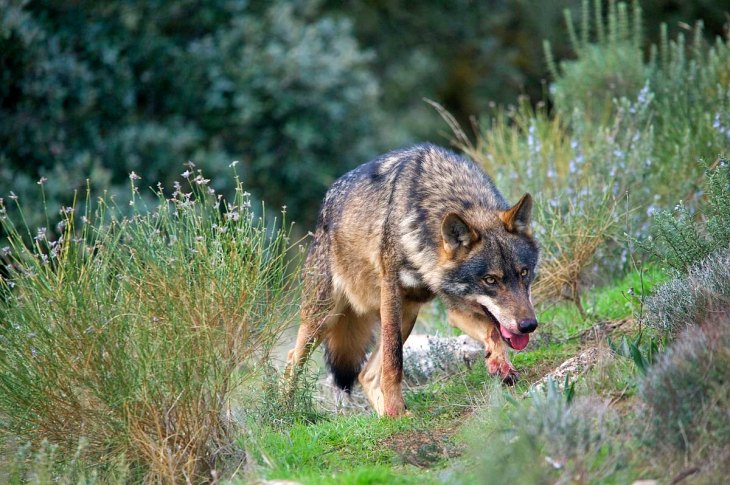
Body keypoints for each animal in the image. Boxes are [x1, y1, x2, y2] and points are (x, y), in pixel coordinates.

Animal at [286, 143, 539, 417]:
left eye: (524, 273)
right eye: (490, 280)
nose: (529, 325)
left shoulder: (456, 307)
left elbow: (493, 331)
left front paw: (500, 364)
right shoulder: (391, 293)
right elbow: (394, 361)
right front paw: (396, 408)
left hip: (407, 315)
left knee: (366, 375)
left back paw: (387, 418)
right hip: (325, 318)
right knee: (292, 361)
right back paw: (285, 410)